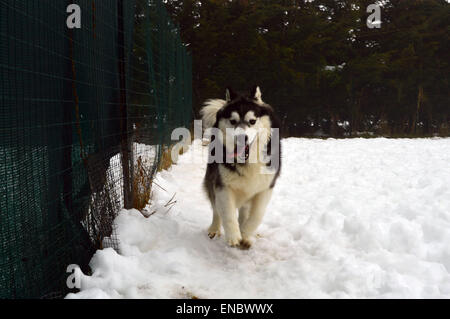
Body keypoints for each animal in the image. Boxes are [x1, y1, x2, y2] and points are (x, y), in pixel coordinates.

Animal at [201, 87, 282, 250]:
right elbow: (227, 212)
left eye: (252, 121)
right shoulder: (223, 185)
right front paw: (233, 236)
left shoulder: (265, 188)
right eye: (233, 121)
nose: (241, 138)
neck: (248, 162)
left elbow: (257, 215)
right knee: (216, 209)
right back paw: (214, 229)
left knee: (245, 210)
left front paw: (245, 234)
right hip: (212, 179)